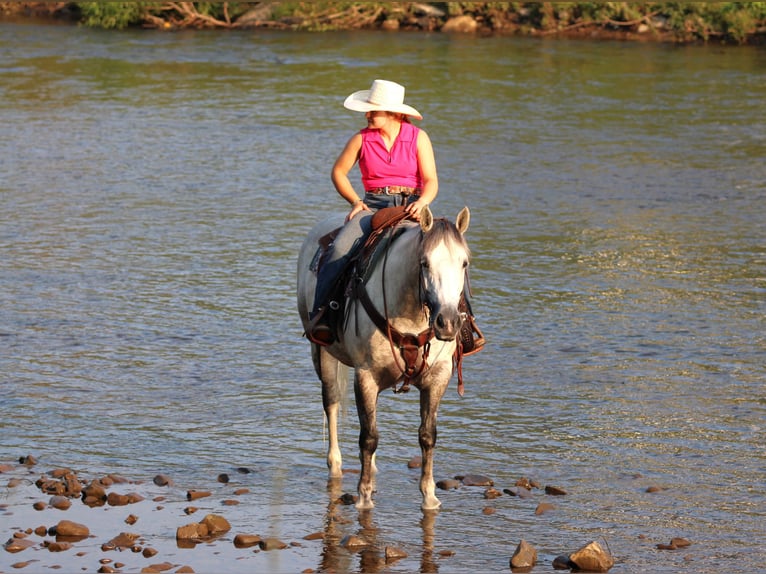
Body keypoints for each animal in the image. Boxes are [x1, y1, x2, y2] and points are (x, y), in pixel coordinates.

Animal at [296, 205, 472, 510]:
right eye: (424, 263)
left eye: (463, 263)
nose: (448, 322)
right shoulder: (365, 375)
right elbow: (368, 437)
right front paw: (364, 497)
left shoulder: (437, 377)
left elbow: (427, 435)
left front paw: (429, 496)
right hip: (323, 354)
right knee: (331, 404)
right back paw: (335, 466)